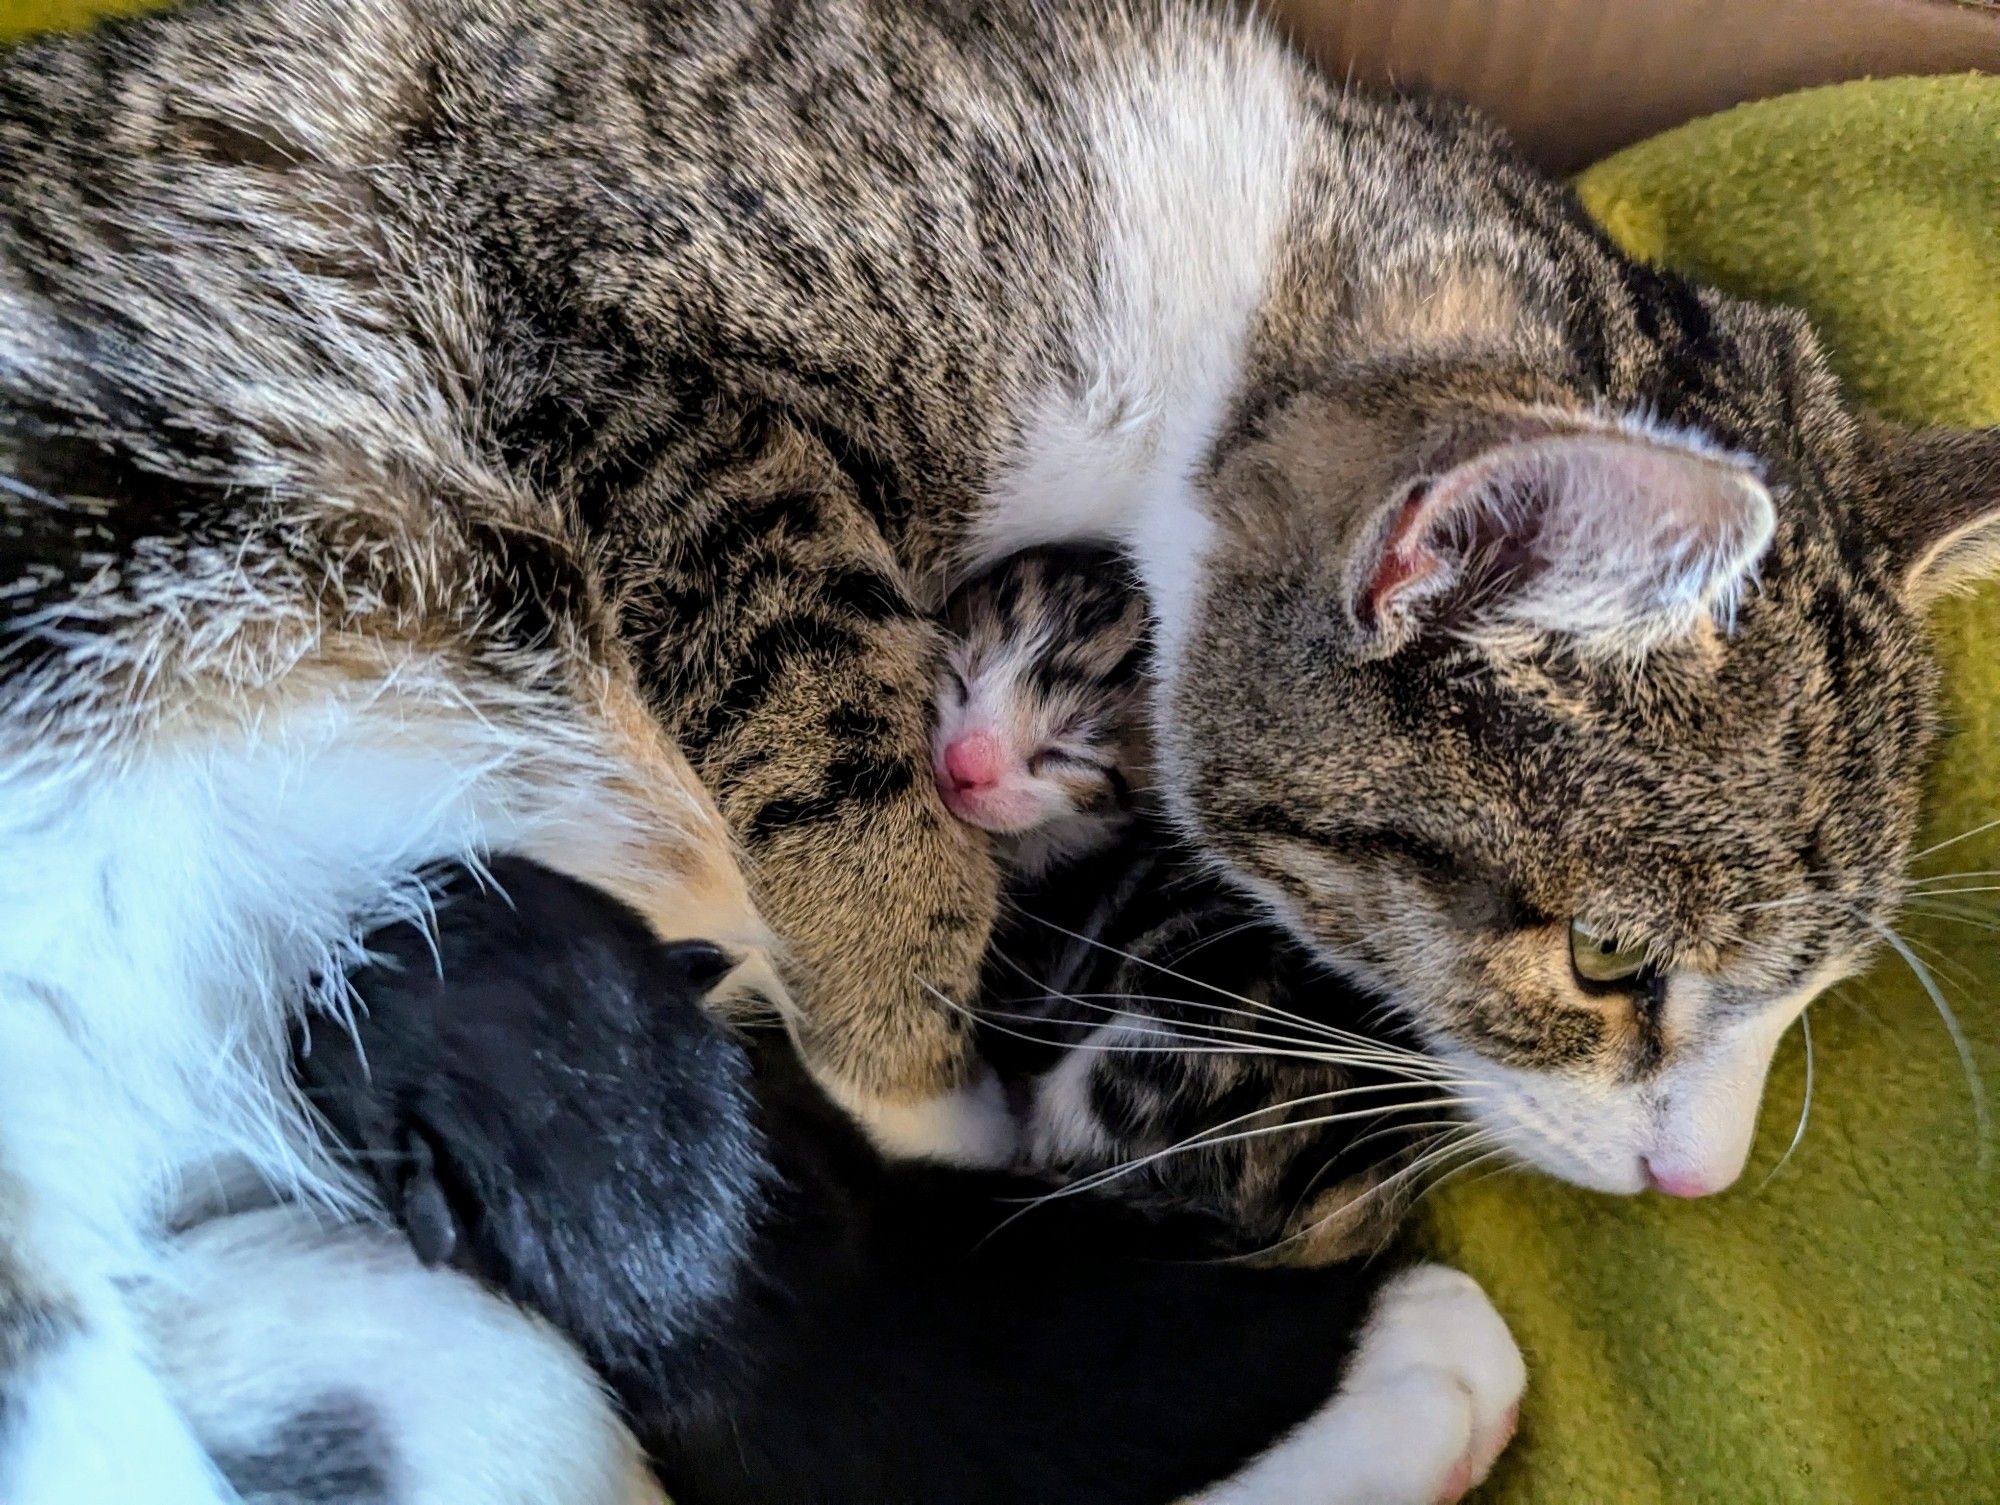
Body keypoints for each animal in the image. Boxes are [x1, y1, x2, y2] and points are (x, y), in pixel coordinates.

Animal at [3, 0, 2000, 1496]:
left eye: (1812, 990)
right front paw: (902, 1047)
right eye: (1606, 959)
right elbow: (824, 712)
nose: (1701, 1179)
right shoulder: (606, 311)